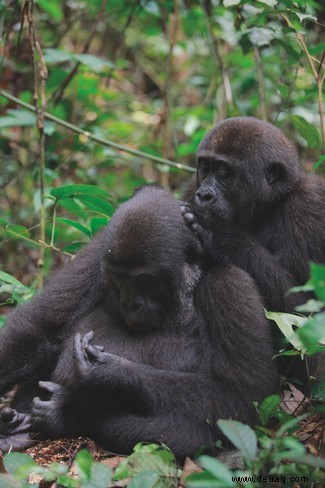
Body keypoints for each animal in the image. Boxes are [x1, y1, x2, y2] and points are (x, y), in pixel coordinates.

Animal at [0, 186, 278, 458]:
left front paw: (109, 374)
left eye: (145, 279)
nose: (129, 304)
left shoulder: (230, 284)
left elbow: (241, 395)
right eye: (117, 277)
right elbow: (42, 328)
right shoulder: (100, 250)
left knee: (188, 434)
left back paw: (69, 415)